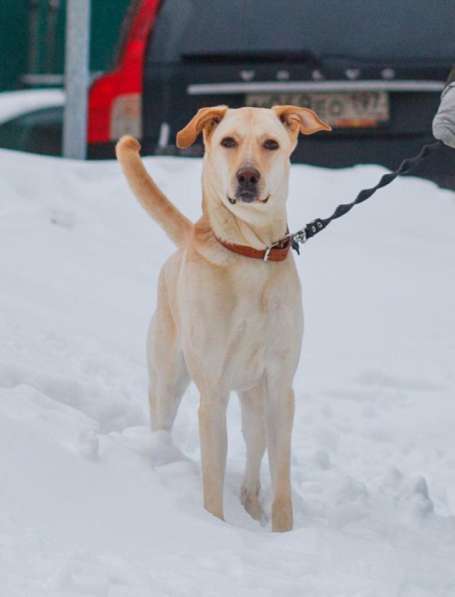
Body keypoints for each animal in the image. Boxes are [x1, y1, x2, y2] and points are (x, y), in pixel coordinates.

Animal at [116, 103, 332, 532]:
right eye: (228, 141)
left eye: (271, 144)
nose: (247, 176)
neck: (250, 254)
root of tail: (188, 237)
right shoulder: (212, 392)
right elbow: (212, 476)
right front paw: (214, 527)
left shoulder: (279, 386)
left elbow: (281, 477)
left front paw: (282, 533)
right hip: (167, 380)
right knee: (161, 422)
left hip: (254, 400)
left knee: (253, 453)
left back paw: (251, 505)